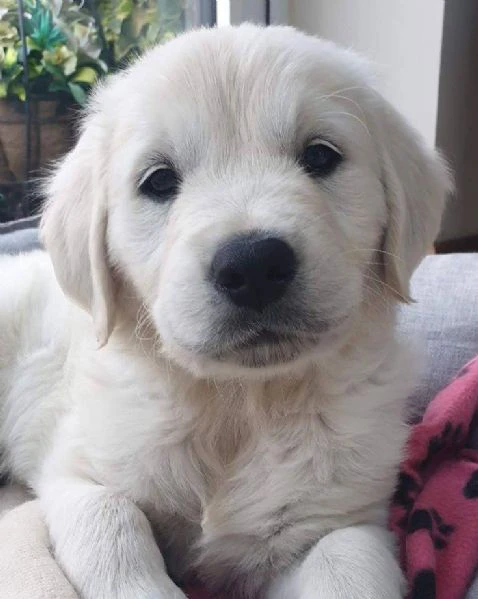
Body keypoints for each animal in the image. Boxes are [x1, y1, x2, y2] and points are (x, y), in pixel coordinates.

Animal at [0, 24, 448, 599]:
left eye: (321, 156)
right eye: (158, 180)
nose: (254, 264)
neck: (238, 406)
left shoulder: (341, 515)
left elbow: (347, 561)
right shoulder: (78, 467)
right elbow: (112, 522)